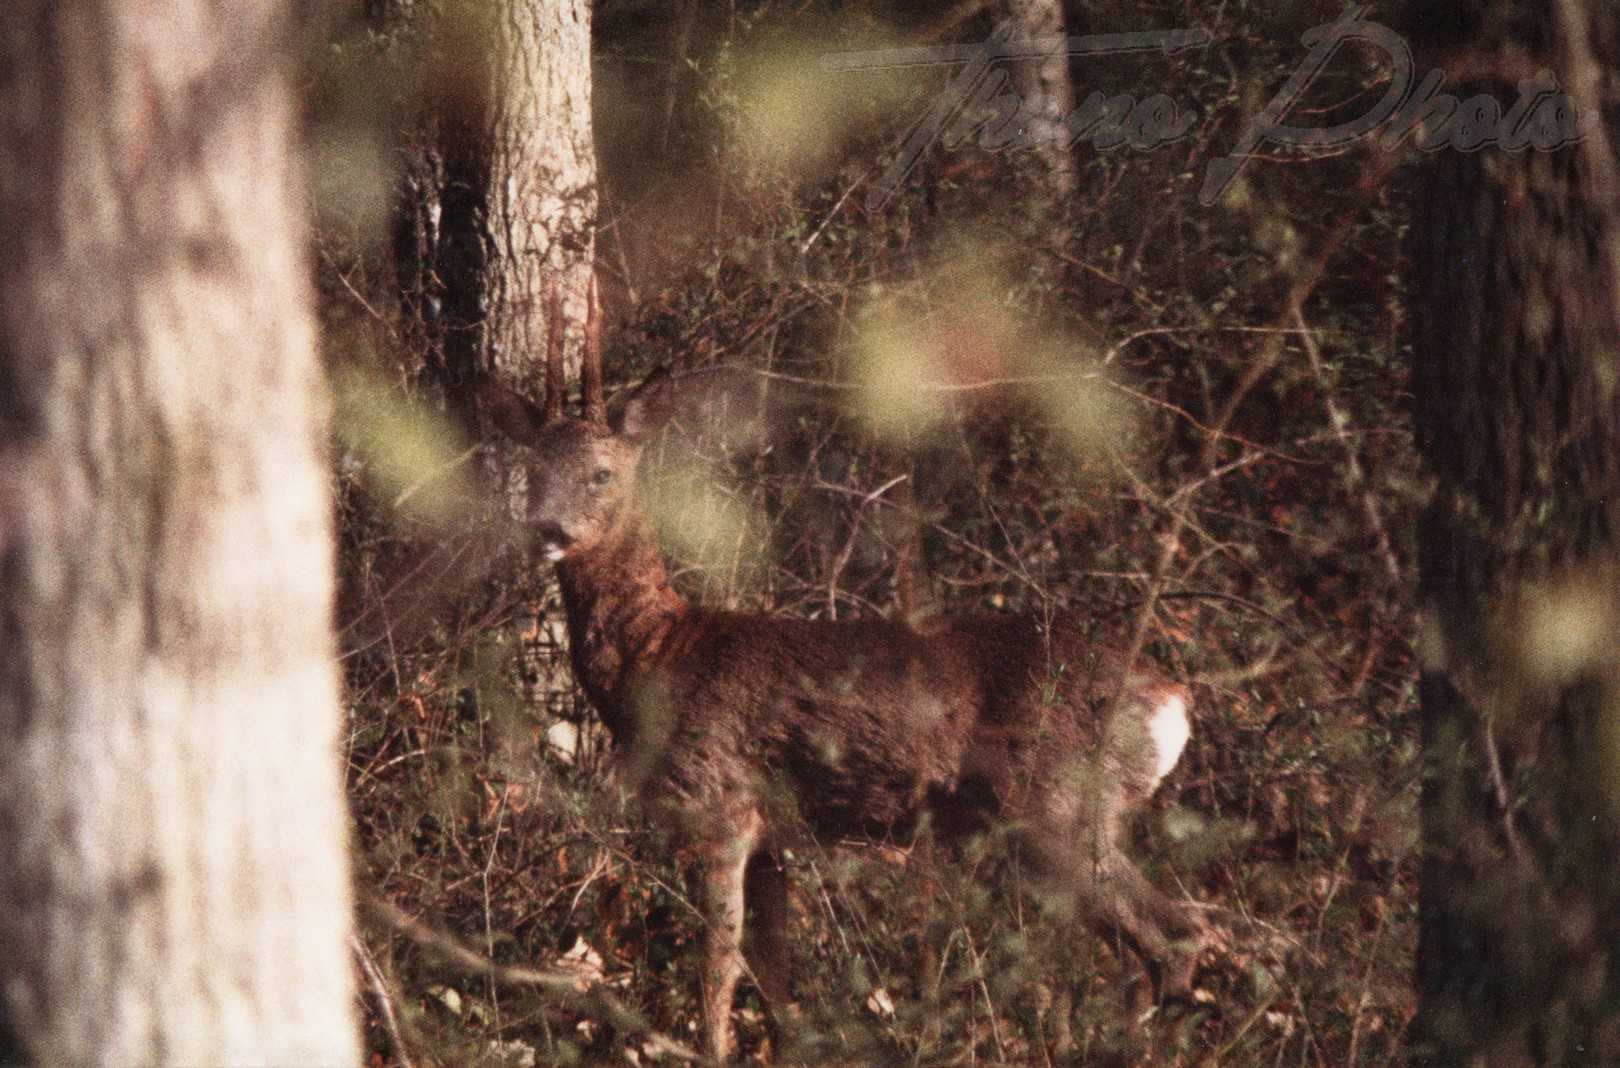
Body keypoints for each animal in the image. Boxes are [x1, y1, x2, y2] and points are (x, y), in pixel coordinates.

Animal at [486, 366, 1211, 1063]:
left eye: (601, 473)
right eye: (534, 471)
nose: (546, 530)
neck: (660, 656)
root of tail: (1172, 699)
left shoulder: (719, 806)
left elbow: (717, 968)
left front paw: (708, 1053)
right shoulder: (772, 836)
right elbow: (773, 977)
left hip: (1059, 805)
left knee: (1176, 936)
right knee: (1138, 954)